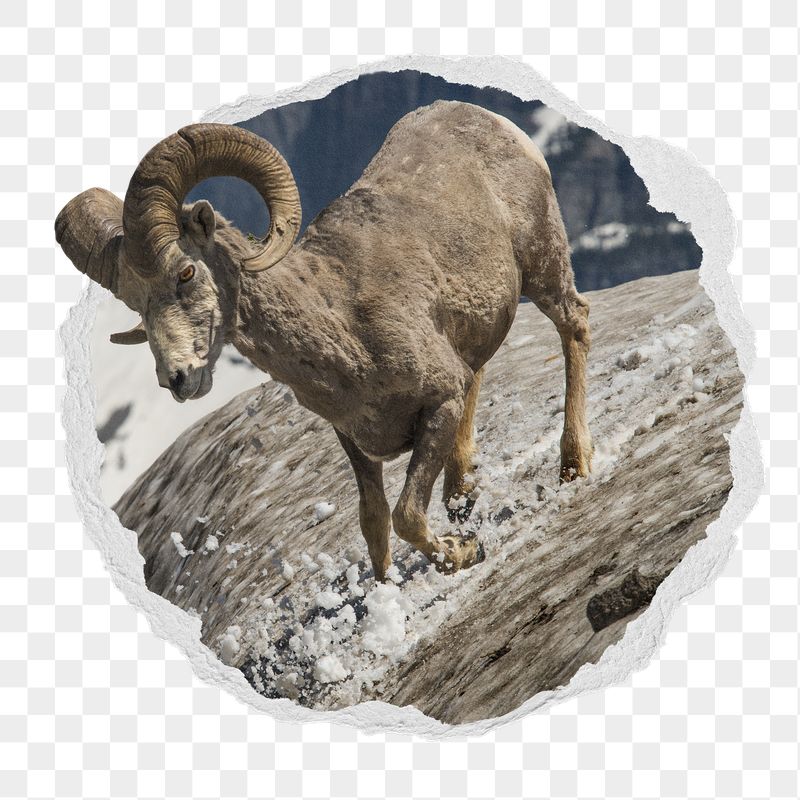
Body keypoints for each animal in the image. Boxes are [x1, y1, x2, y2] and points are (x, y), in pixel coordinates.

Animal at [55, 100, 592, 582]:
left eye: (186, 272)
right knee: (482, 371)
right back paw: (461, 497)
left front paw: (465, 552)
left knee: (576, 325)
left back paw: (573, 467)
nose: (178, 379)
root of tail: (494, 121)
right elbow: (374, 523)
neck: (345, 330)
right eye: (136, 304)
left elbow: (406, 516)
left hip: (543, 266)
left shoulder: (441, 401)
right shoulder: (356, 441)